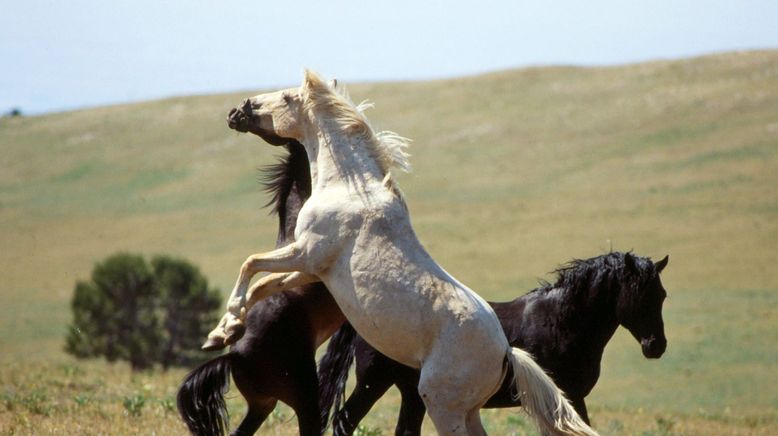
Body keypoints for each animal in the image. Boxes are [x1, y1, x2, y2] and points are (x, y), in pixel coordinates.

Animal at [205, 70, 596, 434]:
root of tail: (505, 353)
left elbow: (250, 264)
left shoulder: (307, 254)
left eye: (287, 97)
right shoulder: (313, 270)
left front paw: (225, 328)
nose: (237, 111)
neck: (349, 189)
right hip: (468, 410)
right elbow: (261, 284)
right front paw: (224, 332)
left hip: (442, 406)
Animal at [322, 250, 668, 434]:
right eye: (640, 294)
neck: (563, 322)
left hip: (412, 393)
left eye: (661, 295)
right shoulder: (570, 395)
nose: (656, 346)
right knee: (344, 421)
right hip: (374, 383)